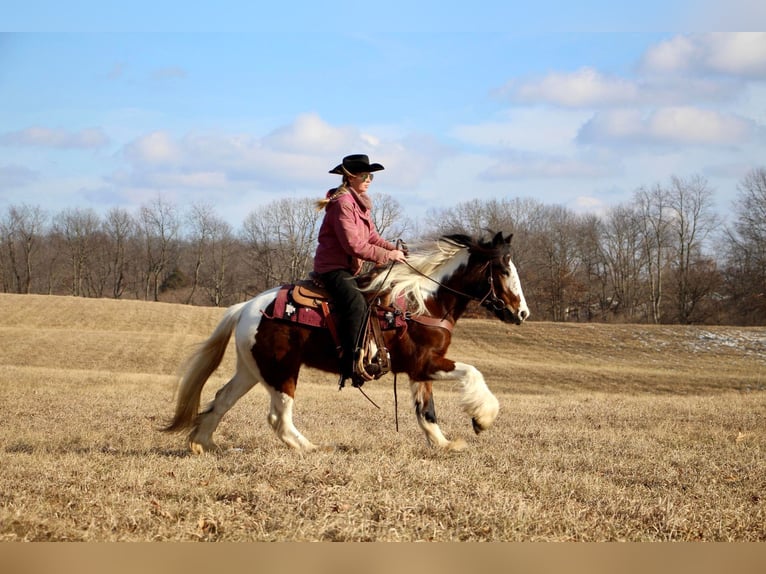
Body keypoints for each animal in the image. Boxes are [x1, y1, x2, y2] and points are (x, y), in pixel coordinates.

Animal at [165, 232, 532, 452]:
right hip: (282, 373)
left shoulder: (420, 371)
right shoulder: (425, 362)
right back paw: (310, 448)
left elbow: (426, 412)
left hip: (252, 370)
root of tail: (246, 308)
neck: (424, 301)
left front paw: (444, 444)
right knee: (278, 418)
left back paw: (203, 443)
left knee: (221, 400)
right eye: (503, 270)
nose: (522, 313)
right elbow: (472, 373)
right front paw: (482, 418)